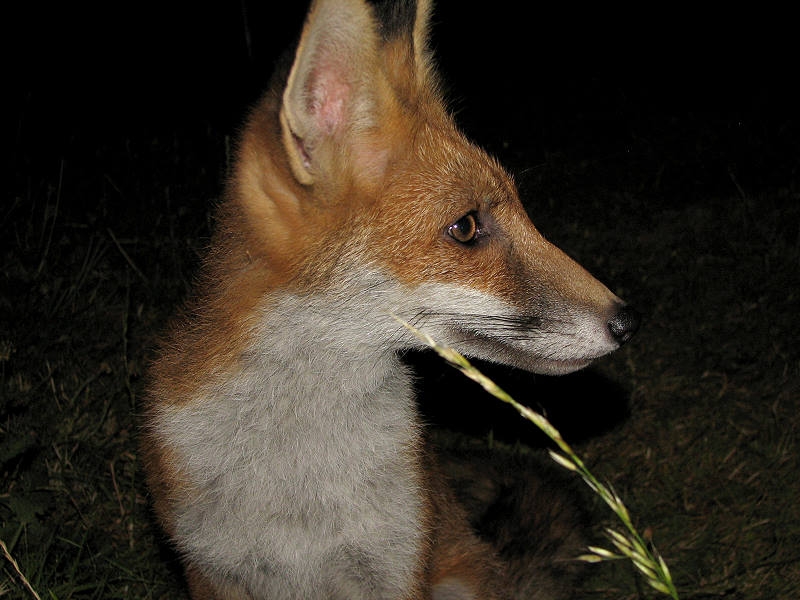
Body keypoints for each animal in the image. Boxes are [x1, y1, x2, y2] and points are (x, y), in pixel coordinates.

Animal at [141, 1, 640, 600]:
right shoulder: (212, 572)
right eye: (466, 227)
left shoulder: (393, 568)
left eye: (522, 210)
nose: (628, 321)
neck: (300, 479)